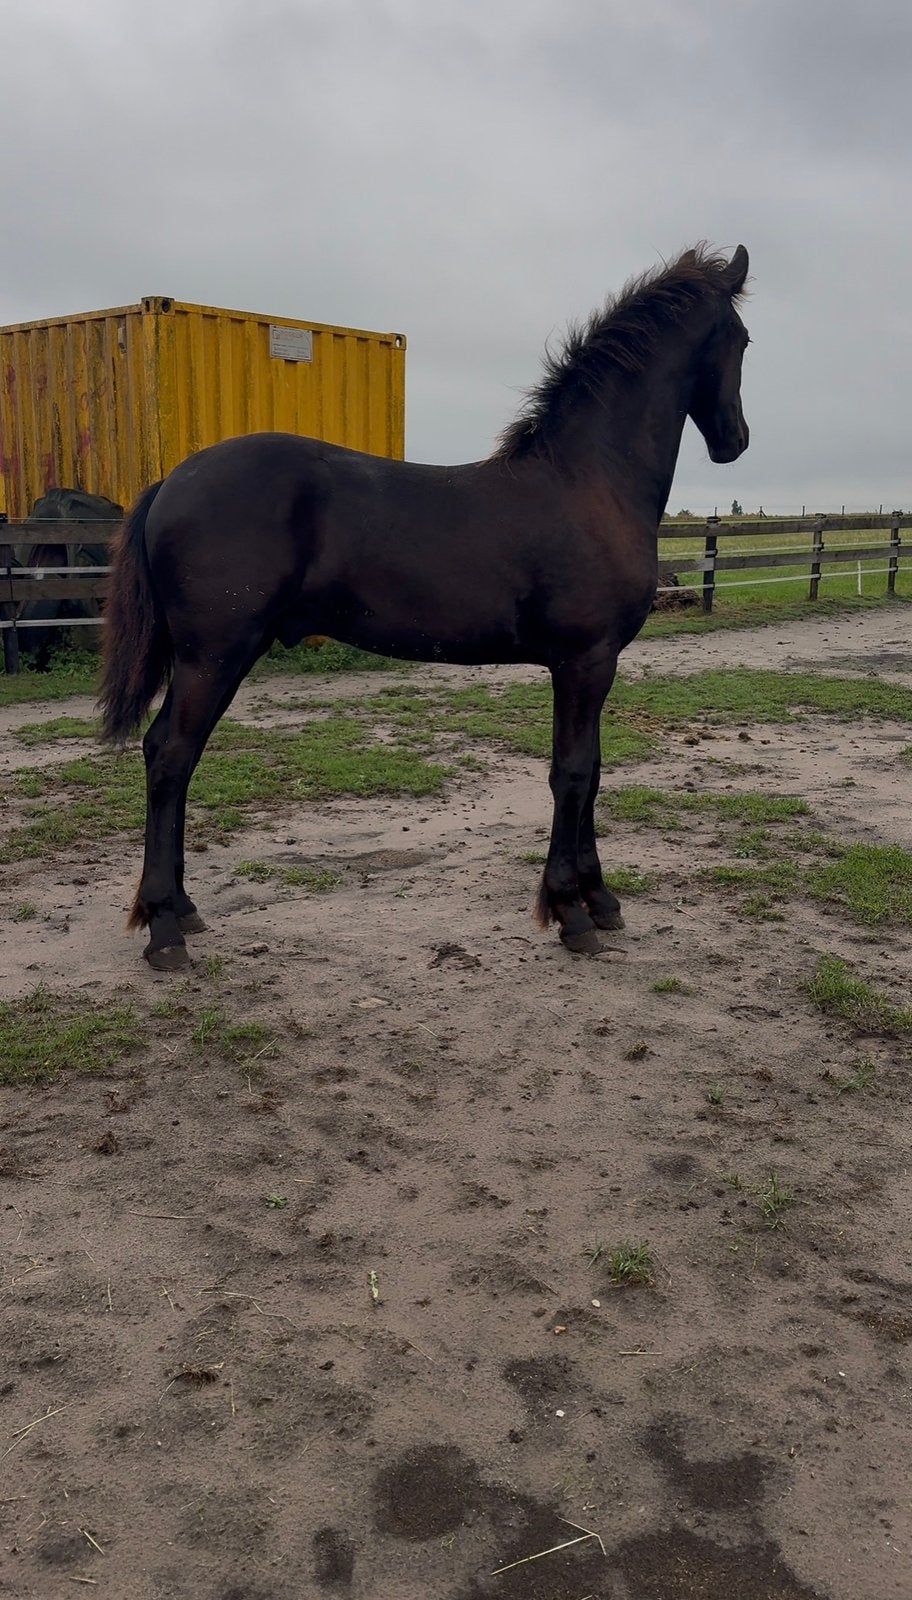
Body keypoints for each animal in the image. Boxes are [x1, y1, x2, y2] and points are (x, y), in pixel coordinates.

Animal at [99, 244, 750, 970]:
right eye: (742, 339)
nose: (735, 441)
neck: (588, 481)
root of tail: (171, 480)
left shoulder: (592, 666)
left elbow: (595, 771)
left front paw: (600, 900)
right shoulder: (584, 661)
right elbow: (574, 774)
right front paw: (570, 912)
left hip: (223, 657)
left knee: (173, 756)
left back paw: (183, 908)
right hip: (211, 656)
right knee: (170, 757)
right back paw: (164, 928)